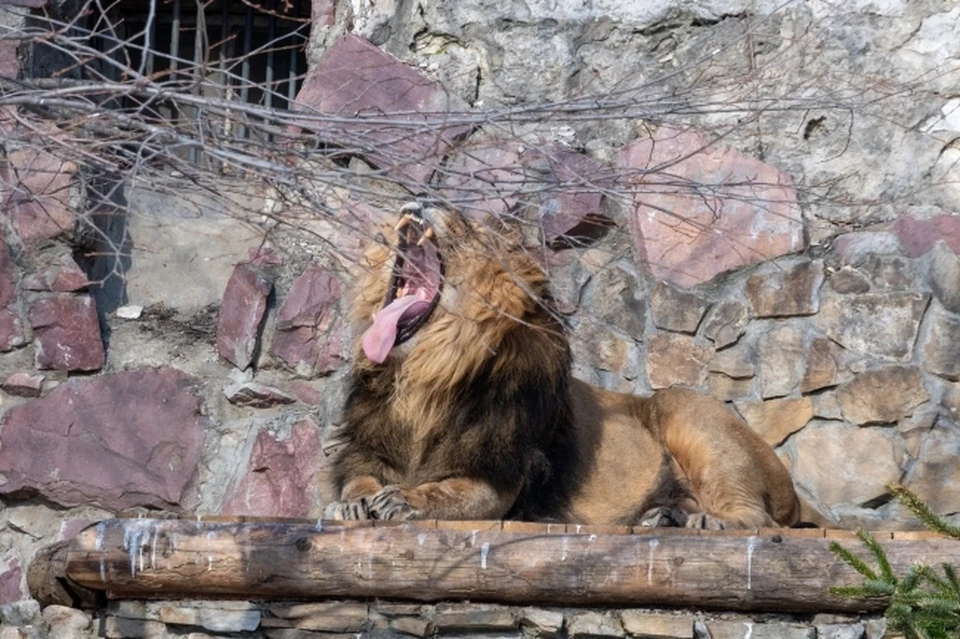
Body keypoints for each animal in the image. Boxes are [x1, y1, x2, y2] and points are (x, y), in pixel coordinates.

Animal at [324, 201, 804, 528]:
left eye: (465, 226)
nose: (419, 200)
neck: (423, 377)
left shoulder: (498, 475)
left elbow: (453, 495)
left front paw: (405, 500)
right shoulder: (366, 447)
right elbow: (358, 480)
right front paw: (352, 502)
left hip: (690, 413)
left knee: (759, 519)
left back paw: (708, 521)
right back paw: (665, 516)